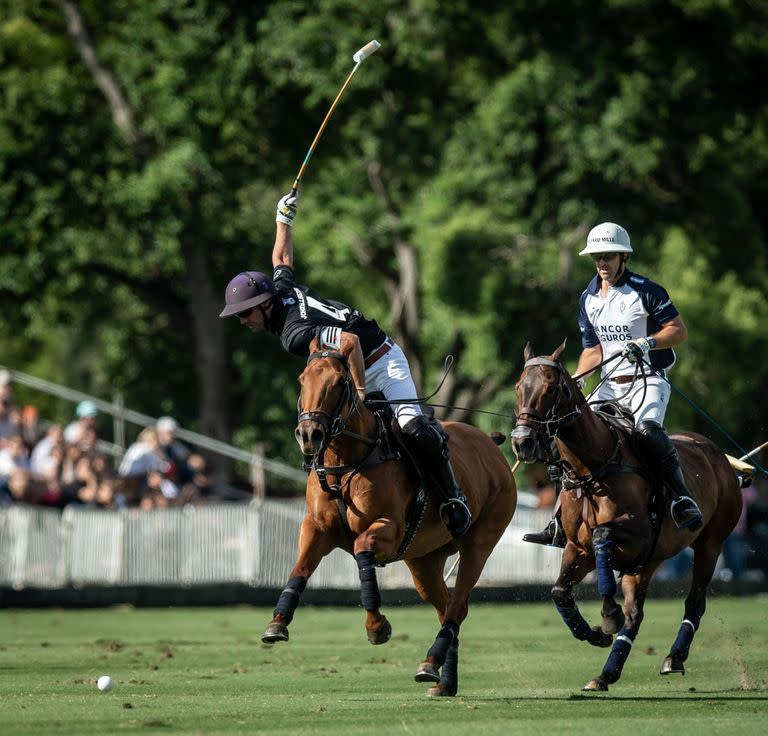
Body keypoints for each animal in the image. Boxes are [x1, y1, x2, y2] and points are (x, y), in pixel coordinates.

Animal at [260, 342, 520, 692]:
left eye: (340, 382)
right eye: (302, 379)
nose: (309, 433)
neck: (345, 461)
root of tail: (492, 449)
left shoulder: (389, 528)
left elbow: (361, 551)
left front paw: (376, 626)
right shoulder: (316, 529)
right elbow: (299, 568)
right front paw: (277, 623)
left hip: (480, 540)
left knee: (458, 601)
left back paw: (430, 663)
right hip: (424, 560)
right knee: (448, 605)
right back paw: (442, 679)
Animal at [510, 342, 744, 692]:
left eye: (550, 388)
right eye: (517, 387)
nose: (522, 441)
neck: (591, 469)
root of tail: (721, 457)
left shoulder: (637, 535)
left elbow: (602, 535)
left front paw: (608, 614)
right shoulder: (577, 548)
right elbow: (560, 592)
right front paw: (593, 634)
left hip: (711, 542)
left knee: (695, 602)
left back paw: (673, 657)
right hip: (650, 561)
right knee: (636, 614)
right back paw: (606, 673)